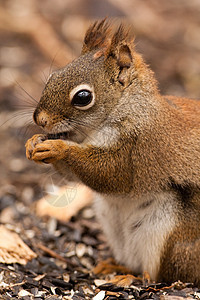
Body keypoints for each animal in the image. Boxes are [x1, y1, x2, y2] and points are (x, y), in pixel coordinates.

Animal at [25, 19, 200, 286]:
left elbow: (111, 175)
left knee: (159, 273)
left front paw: (59, 148)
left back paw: (130, 277)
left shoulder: (138, 147)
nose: (40, 120)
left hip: (167, 232)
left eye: (83, 97)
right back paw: (113, 266)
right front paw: (33, 142)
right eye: (53, 77)